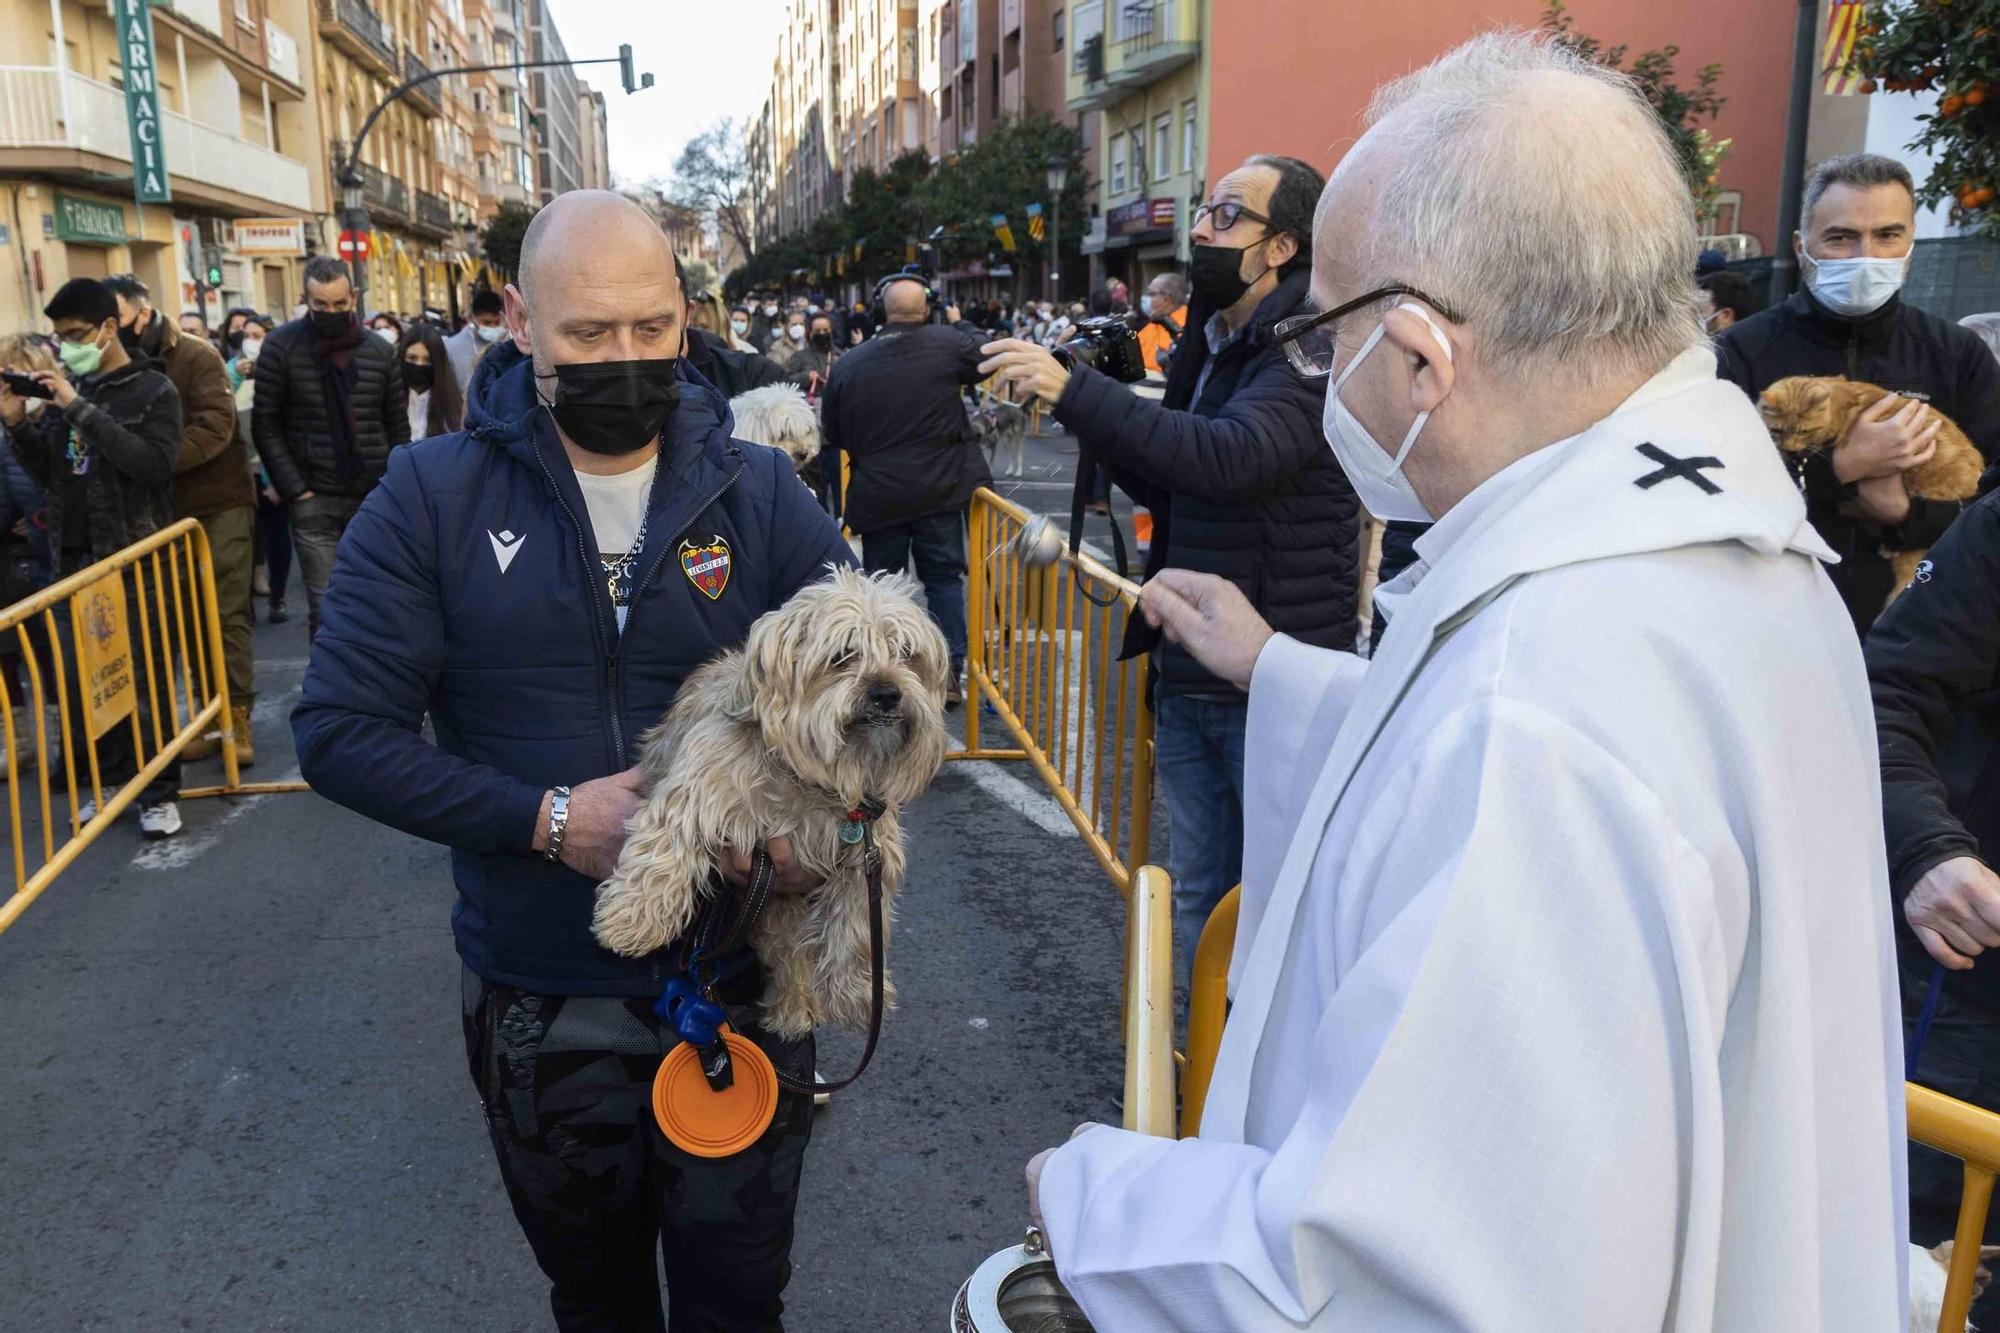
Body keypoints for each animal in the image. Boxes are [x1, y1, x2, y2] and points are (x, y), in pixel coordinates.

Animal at [588, 564, 948, 1032]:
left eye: (906, 654)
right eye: (843, 655)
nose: (887, 693)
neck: (807, 776)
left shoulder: (867, 856)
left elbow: (856, 927)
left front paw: (857, 992)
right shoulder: (695, 797)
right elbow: (662, 854)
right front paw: (631, 921)